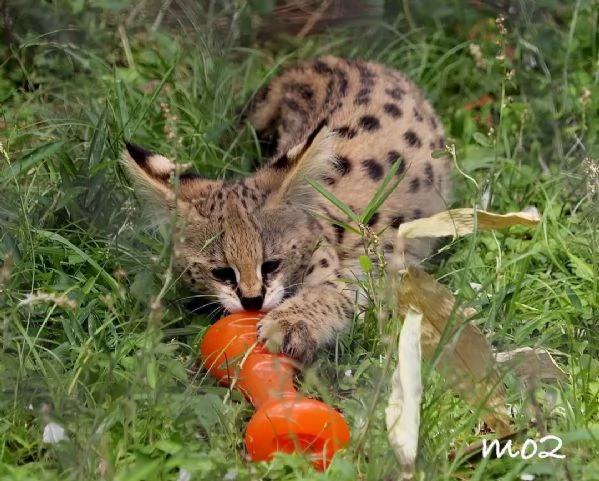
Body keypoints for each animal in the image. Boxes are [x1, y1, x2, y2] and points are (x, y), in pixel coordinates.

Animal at [120, 55, 450, 364]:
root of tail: (333, 61)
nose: (252, 301)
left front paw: (291, 322)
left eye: (271, 265)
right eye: (221, 272)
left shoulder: (364, 272)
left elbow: (333, 293)